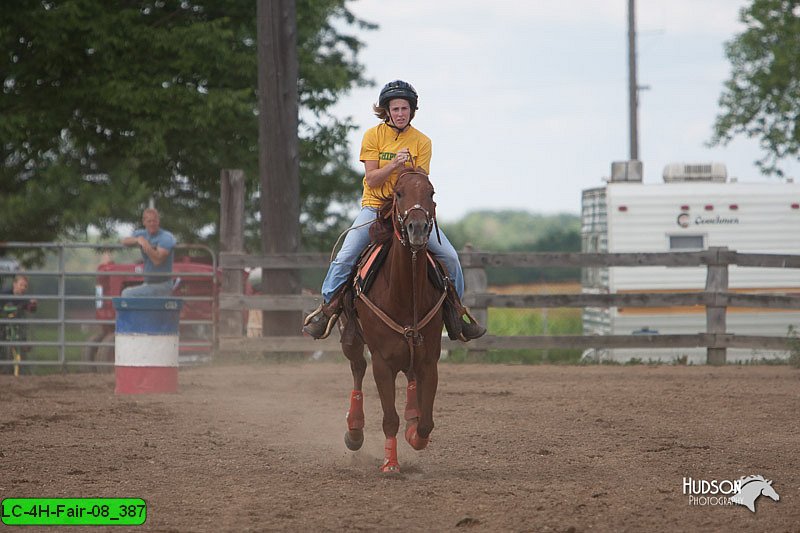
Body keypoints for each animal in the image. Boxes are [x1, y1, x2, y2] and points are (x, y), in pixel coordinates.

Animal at [340, 168, 446, 472]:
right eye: (398, 193)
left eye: (431, 193)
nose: (417, 229)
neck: (404, 294)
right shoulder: (382, 362)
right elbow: (389, 419)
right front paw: (390, 463)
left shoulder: (429, 359)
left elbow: (426, 423)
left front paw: (414, 434)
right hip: (351, 339)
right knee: (357, 368)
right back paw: (354, 430)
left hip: (413, 349)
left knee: (409, 378)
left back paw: (411, 412)